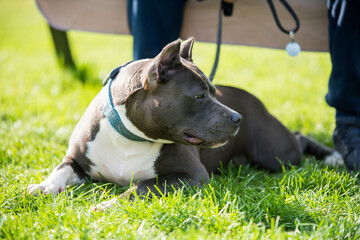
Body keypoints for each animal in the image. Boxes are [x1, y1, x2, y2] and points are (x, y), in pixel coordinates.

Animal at [26, 37, 342, 210]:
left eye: (214, 91)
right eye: (200, 95)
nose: (237, 118)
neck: (131, 138)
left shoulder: (190, 176)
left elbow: (141, 187)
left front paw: (107, 204)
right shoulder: (77, 159)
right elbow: (60, 171)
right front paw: (41, 187)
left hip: (277, 155)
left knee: (298, 138)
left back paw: (334, 157)